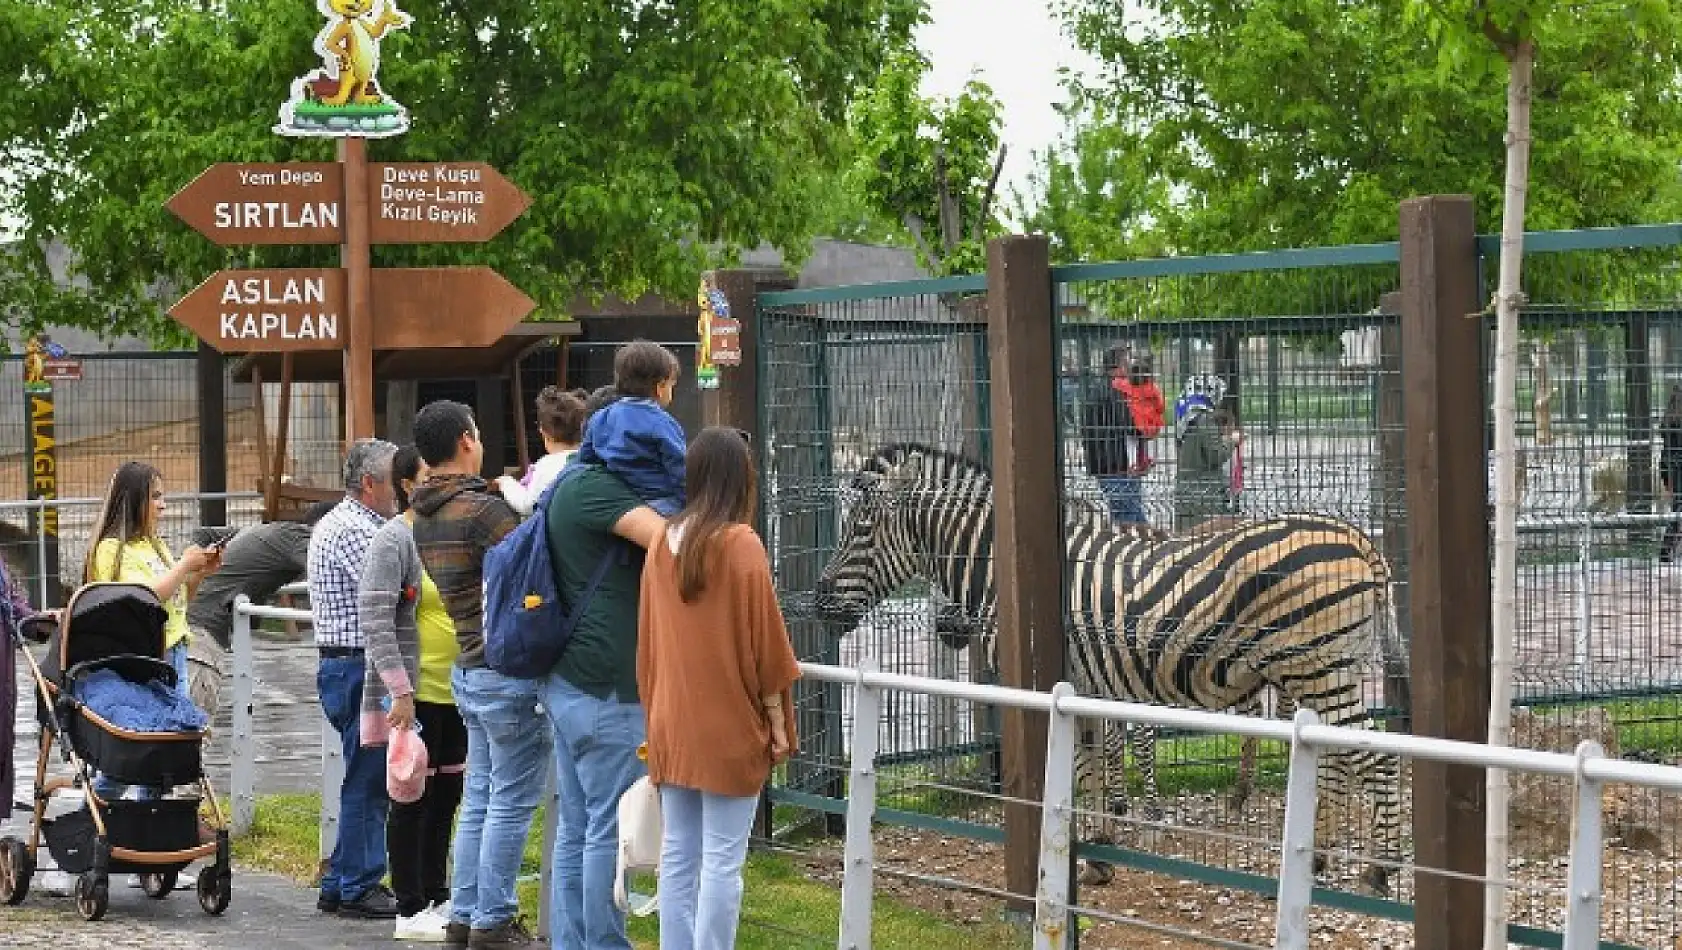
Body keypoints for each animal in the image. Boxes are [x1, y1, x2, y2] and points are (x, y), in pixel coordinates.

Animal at [814, 440, 1406, 894]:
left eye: (861, 528)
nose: (818, 603)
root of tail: (1359, 539)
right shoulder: (1091, 683)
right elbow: (1098, 762)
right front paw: (1103, 848)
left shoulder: (1057, 684)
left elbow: (1080, 767)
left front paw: (1093, 855)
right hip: (1330, 667)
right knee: (1336, 757)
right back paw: (1320, 857)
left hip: (1317, 665)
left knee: (1375, 755)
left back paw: (1381, 870)